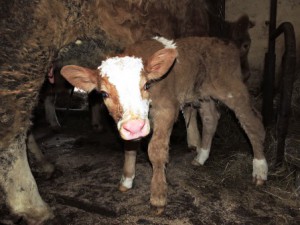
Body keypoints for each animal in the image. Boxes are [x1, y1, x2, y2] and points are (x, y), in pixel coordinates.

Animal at [61, 36, 268, 214]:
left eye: (146, 85)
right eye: (104, 94)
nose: (135, 126)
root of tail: (225, 43)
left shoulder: (167, 110)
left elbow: (156, 150)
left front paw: (158, 197)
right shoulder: (127, 124)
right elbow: (129, 147)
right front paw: (127, 179)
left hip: (232, 89)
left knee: (252, 121)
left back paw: (259, 170)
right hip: (203, 93)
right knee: (211, 118)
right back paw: (201, 156)